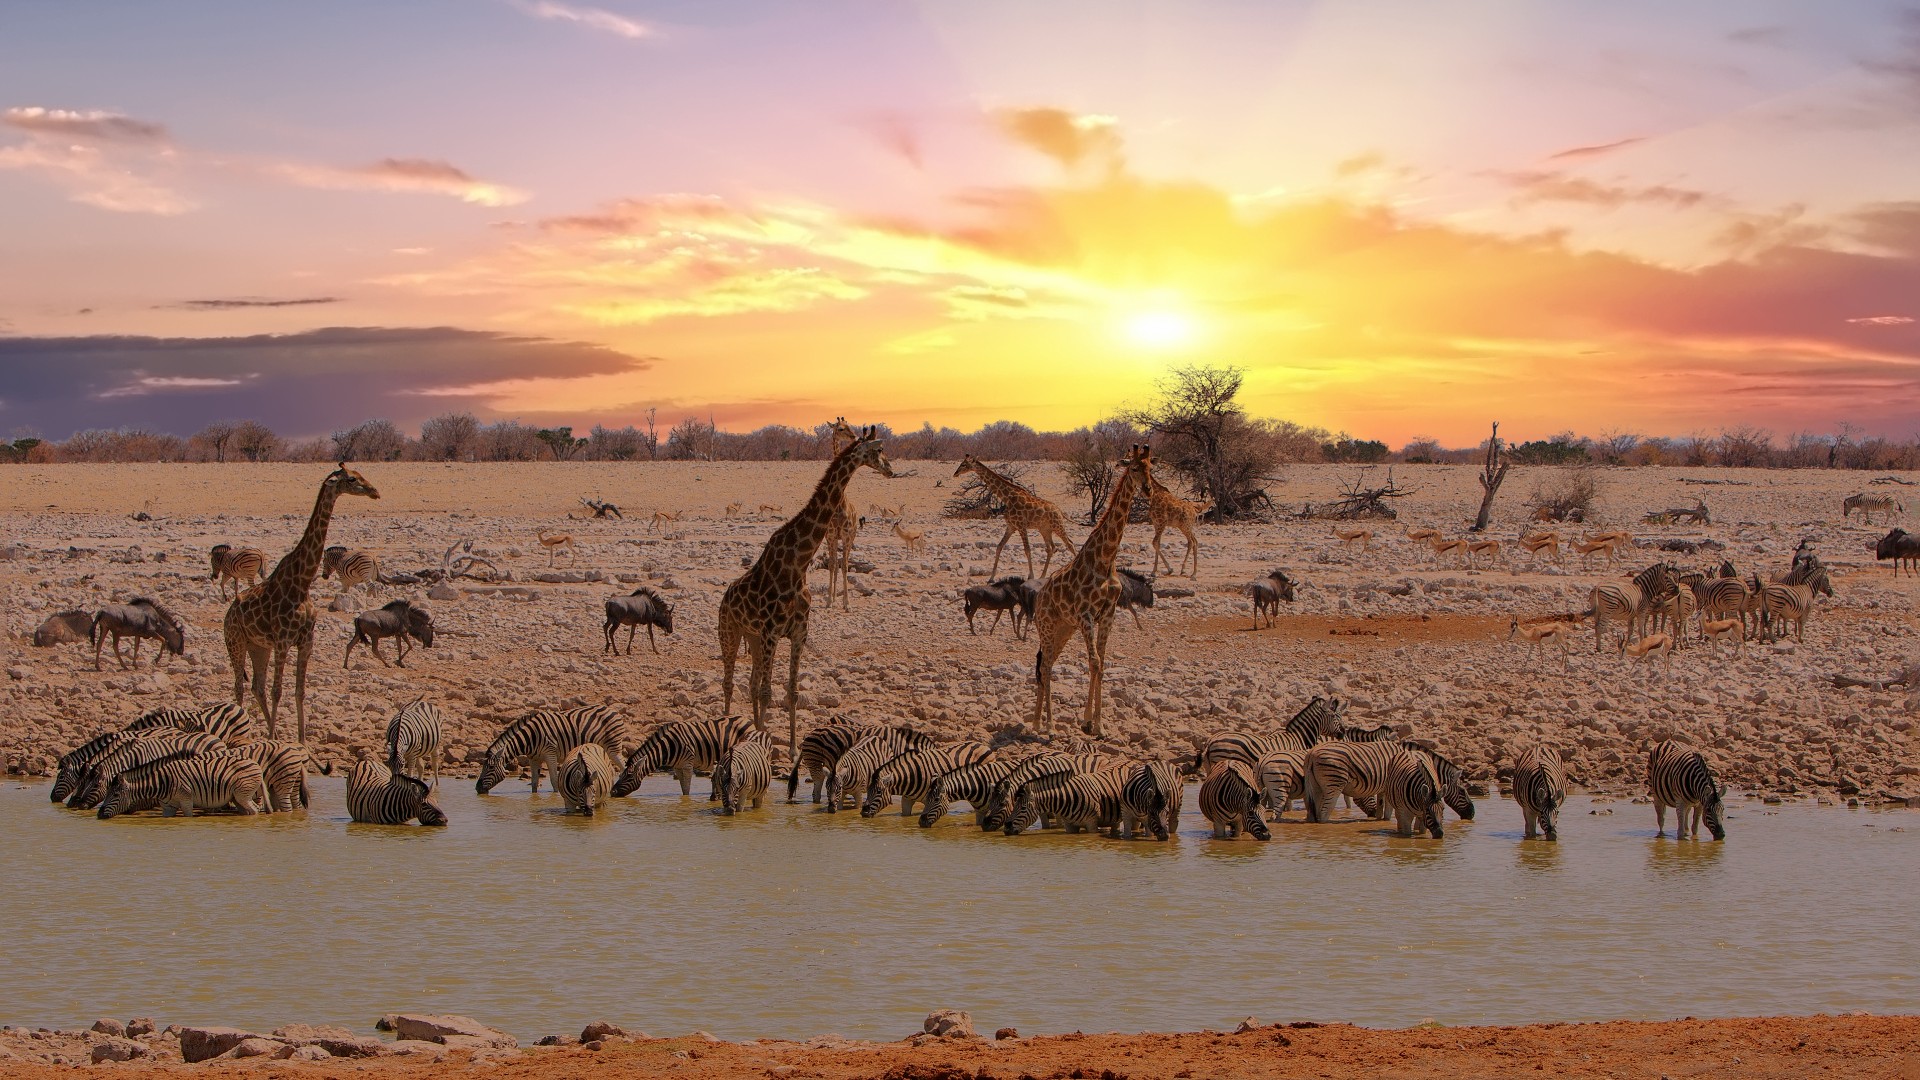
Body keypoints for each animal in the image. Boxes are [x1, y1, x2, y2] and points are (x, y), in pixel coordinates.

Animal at [222, 463, 380, 737]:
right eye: (352, 479)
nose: (375, 491)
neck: (301, 583)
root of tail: (228, 613)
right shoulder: (283, 641)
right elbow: (278, 691)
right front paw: (275, 741)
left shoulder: (306, 641)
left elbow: (299, 692)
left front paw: (301, 741)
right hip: (235, 641)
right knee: (240, 686)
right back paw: (244, 733)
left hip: (258, 646)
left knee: (256, 686)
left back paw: (271, 731)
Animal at [476, 703, 625, 795]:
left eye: (490, 767)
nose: (477, 788)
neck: (530, 738)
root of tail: (613, 710)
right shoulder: (533, 759)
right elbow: (534, 783)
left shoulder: (550, 754)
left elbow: (554, 781)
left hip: (613, 747)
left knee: (623, 767)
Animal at [721, 422, 894, 749]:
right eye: (878, 449)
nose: (891, 469)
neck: (797, 564)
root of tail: (724, 598)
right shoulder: (772, 632)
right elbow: (769, 692)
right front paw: (767, 746)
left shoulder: (798, 632)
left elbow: (792, 692)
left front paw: (790, 749)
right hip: (730, 631)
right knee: (729, 681)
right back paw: (724, 728)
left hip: (752, 636)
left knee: (750, 683)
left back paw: (752, 728)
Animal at [864, 737, 998, 814]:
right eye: (868, 791)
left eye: (879, 792)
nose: (863, 813)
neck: (911, 777)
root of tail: (983, 745)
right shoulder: (906, 799)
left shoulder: (929, 798)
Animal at [1036, 445, 1152, 737]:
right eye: (1134, 467)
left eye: (1151, 468)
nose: (1148, 489)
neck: (1106, 558)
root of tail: (1039, 597)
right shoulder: (1086, 616)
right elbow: (1095, 661)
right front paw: (1089, 721)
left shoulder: (1107, 615)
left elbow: (1102, 664)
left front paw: (1096, 724)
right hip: (1047, 626)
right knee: (1045, 666)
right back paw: (1049, 726)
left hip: (1063, 630)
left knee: (1047, 663)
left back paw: (1035, 722)